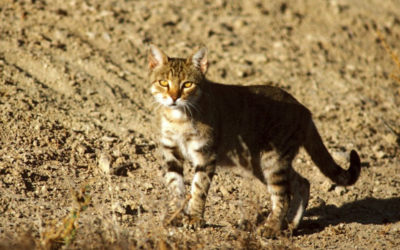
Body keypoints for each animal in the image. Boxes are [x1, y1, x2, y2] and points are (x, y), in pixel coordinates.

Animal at [147, 43, 360, 238]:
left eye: (187, 84)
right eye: (163, 82)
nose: (174, 97)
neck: (178, 118)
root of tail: (306, 111)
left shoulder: (206, 154)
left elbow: (198, 188)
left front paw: (194, 219)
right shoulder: (171, 151)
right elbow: (175, 186)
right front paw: (174, 216)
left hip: (273, 160)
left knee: (283, 195)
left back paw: (271, 227)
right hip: (261, 163)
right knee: (302, 183)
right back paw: (291, 224)